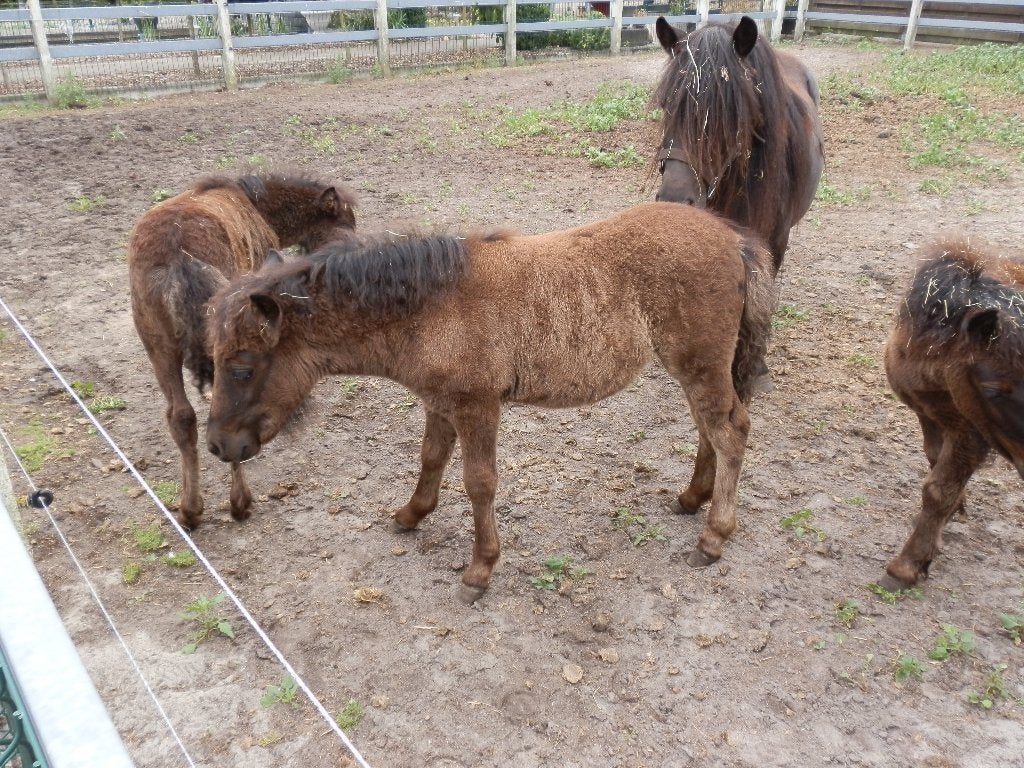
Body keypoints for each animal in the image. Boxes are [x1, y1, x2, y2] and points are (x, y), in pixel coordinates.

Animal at [128, 172, 357, 529]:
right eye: (344, 222)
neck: (255, 203)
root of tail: (178, 257)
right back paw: (240, 503)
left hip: (158, 347)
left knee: (182, 417)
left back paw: (190, 511)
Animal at [204, 202, 777, 603]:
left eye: (242, 367)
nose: (218, 445)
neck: (430, 309)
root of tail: (732, 237)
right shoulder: (440, 402)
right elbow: (431, 459)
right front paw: (411, 515)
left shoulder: (477, 405)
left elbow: (479, 482)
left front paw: (479, 571)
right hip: (696, 367)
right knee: (709, 428)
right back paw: (691, 499)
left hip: (698, 363)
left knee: (730, 430)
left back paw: (713, 537)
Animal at [881, 239, 1024, 591]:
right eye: (992, 389)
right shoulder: (929, 415)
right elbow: (935, 461)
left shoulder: (970, 435)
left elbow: (937, 491)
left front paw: (908, 565)